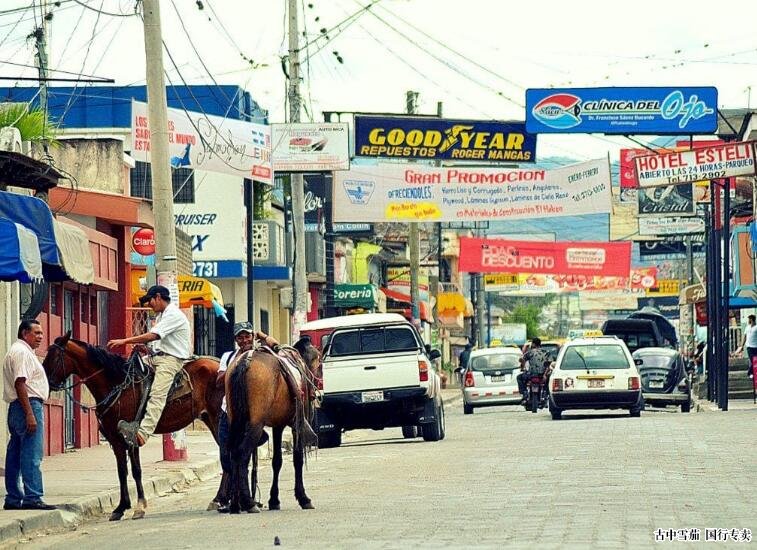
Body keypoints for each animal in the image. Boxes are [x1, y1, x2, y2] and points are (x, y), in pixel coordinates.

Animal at [42, 332, 221, 520]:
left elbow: (136, 470)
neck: (116, 385)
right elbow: (122, 471)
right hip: (210, 418)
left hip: (217, 419)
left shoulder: (130, 437)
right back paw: (218, 500)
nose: (46, 384)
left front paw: (139, 506)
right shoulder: (115, 439)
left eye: (54, 357)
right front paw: (121, 507)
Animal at [224, 338, 318, 516]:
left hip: (236, 423)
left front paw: (274, 500)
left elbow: (277, 461)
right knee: (242, 454)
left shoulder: (278, 426)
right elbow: (297, 459)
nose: (315, 393)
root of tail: (245, 362)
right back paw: (248, 502)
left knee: (232, 454)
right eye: (319, 362)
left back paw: (235, 504)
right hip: (255, 425)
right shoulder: (296, 424)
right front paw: (303, 498)